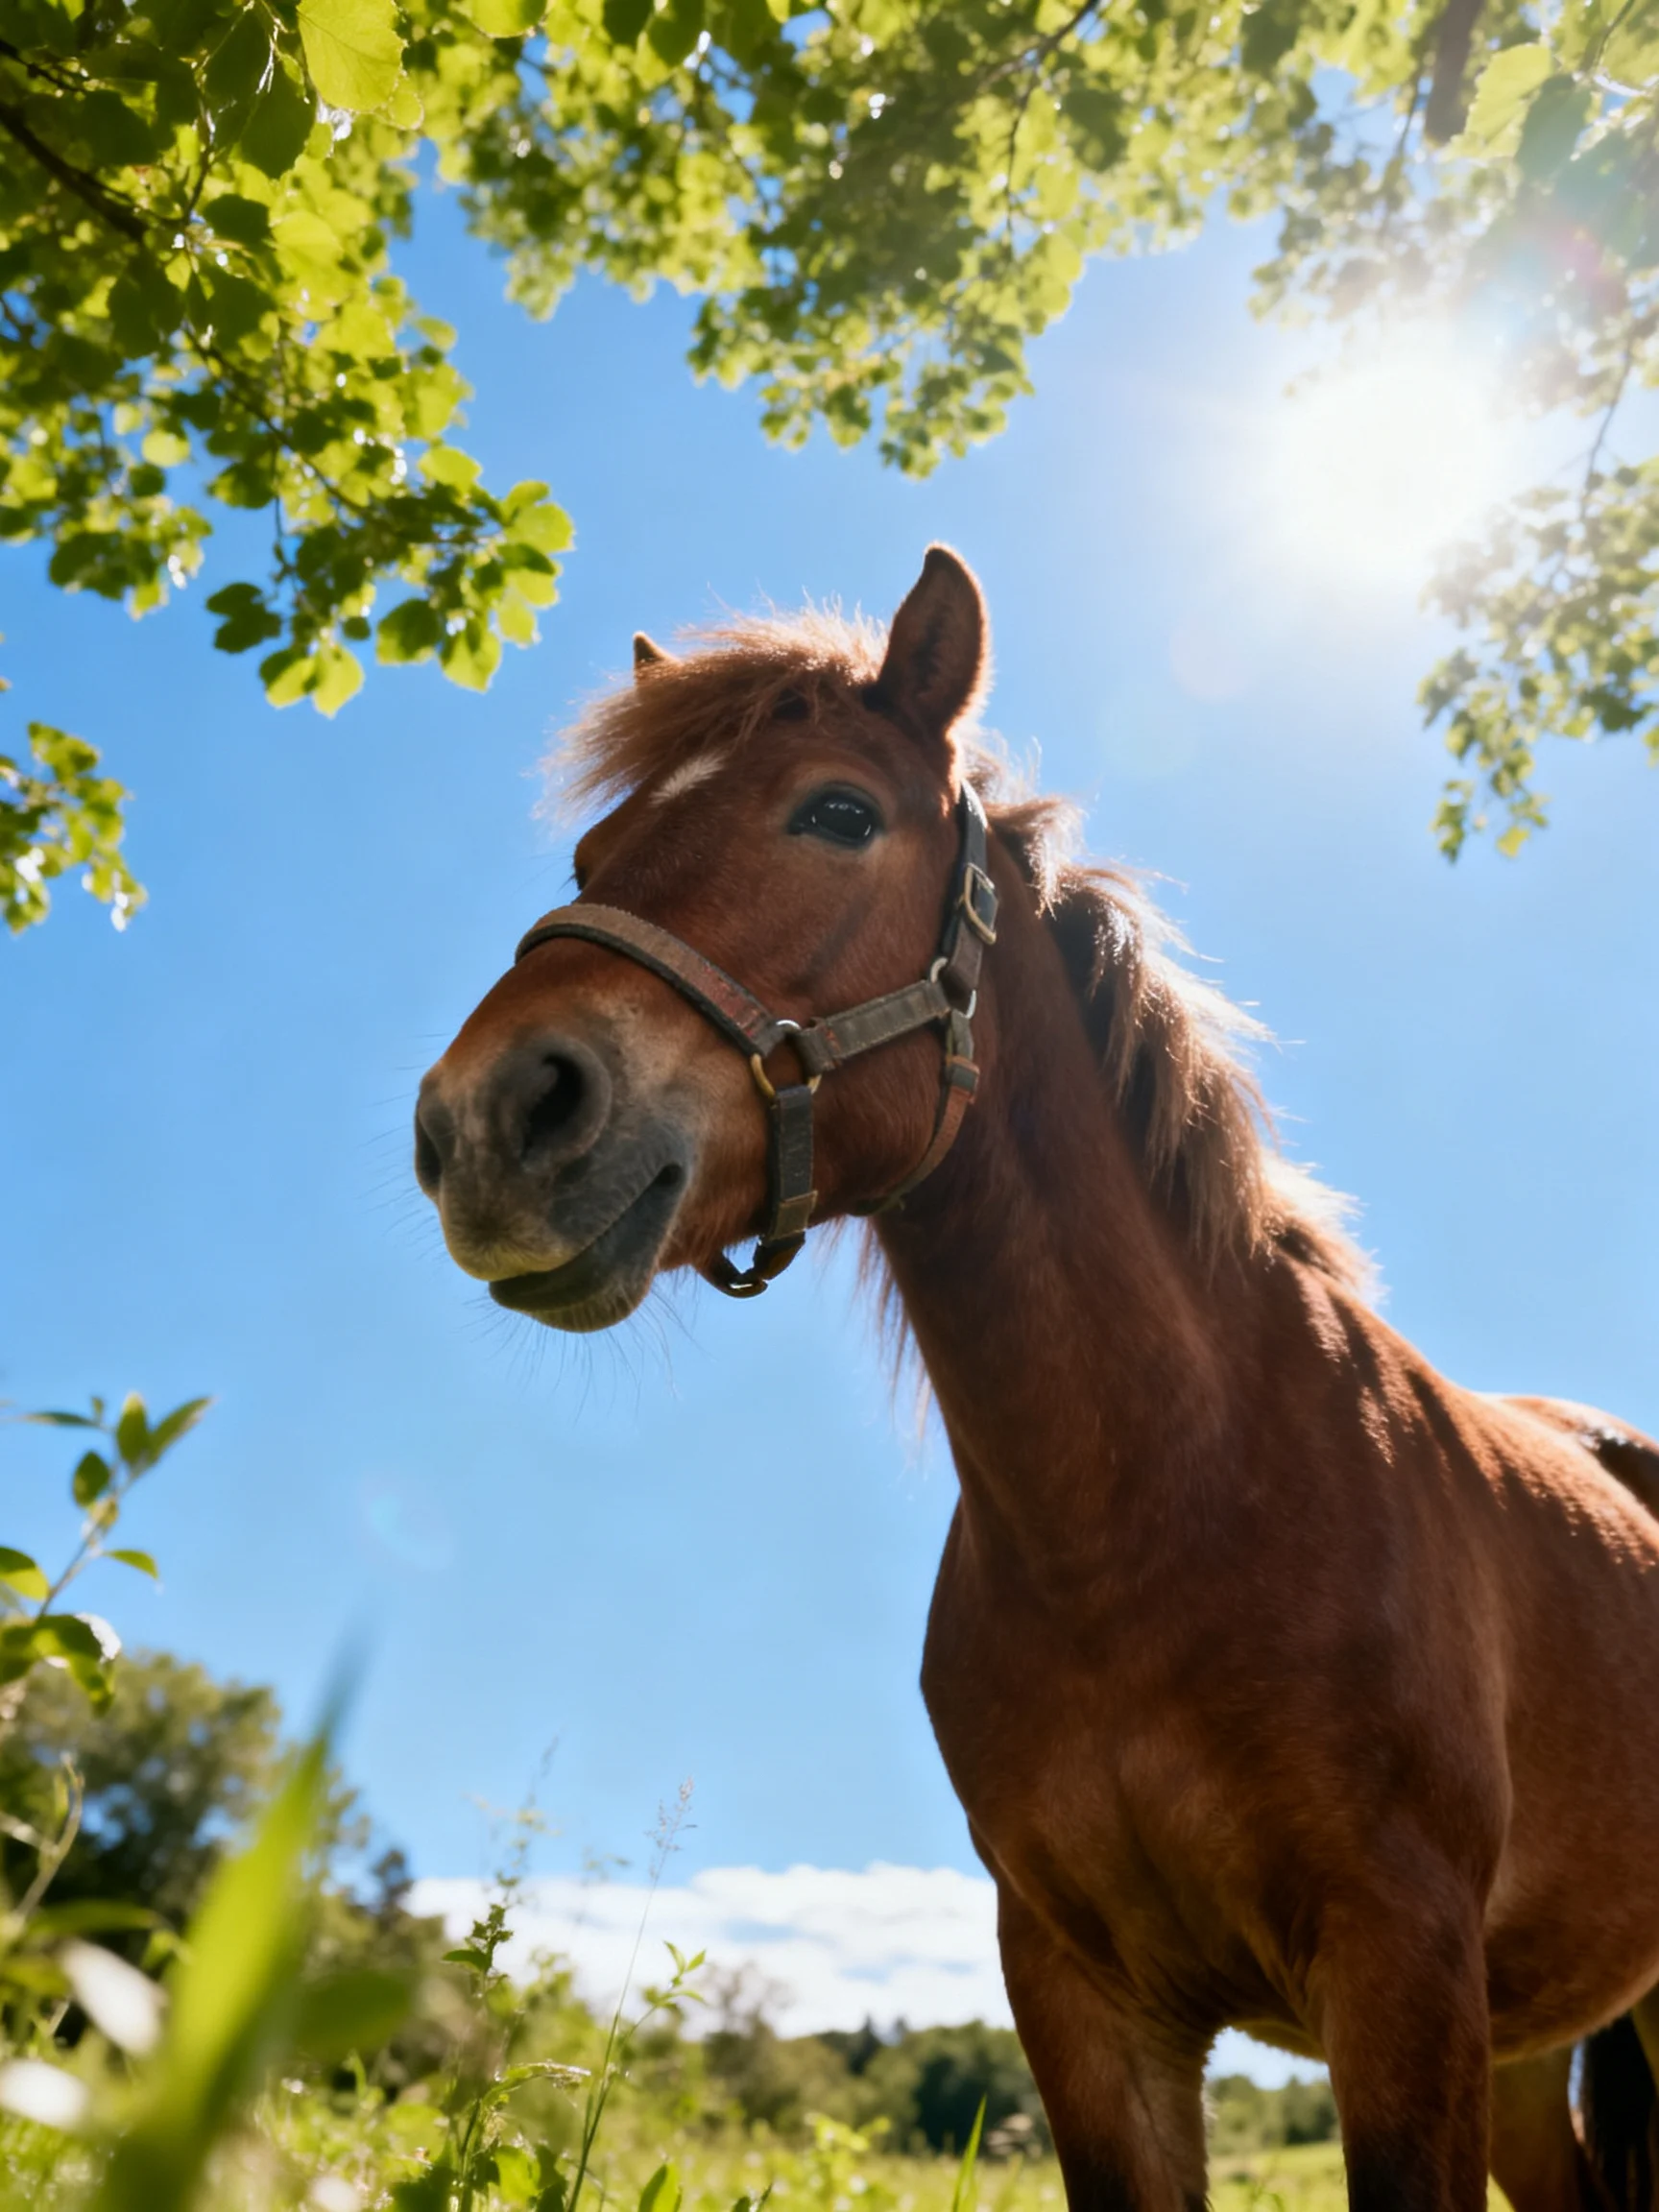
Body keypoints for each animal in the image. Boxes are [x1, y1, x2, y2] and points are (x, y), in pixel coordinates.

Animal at [413, 547, 1659, 2212]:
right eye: (591, 851)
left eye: (836, 812)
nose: (489, 1120)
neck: (1162, 1510)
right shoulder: (1084, 1998)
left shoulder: (1404, 1978)